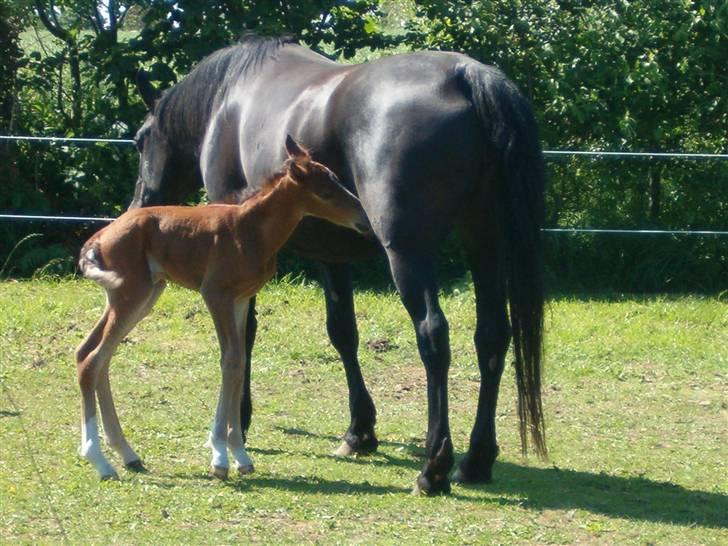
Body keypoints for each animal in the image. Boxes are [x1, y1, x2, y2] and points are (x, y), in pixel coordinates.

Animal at [76, 136, 366, 476]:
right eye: (325, 192)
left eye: (337, 179)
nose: (363, 220)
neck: (249, 229)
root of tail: (98, 237)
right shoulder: (215, 294)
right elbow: (230, 361)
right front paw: (219, 455)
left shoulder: (240, 299)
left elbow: (239, 362)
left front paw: (239, 454)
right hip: (131, 293)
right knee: (93, 359)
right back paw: (99, 459)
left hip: (140, 294)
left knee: (92, 353)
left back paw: (126, 453)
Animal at [132, 34, 544, 492]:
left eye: (139, 141)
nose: (140, 203)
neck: (229, 97)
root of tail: (464, 75)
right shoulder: (332, 255)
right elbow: (343, 333)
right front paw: (360, 432)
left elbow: (243, 334)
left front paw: (240, 420)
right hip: (484, 243)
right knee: (492, 336)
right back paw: (475, 460)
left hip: (409, 254)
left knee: (433, 336)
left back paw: (433, 468)